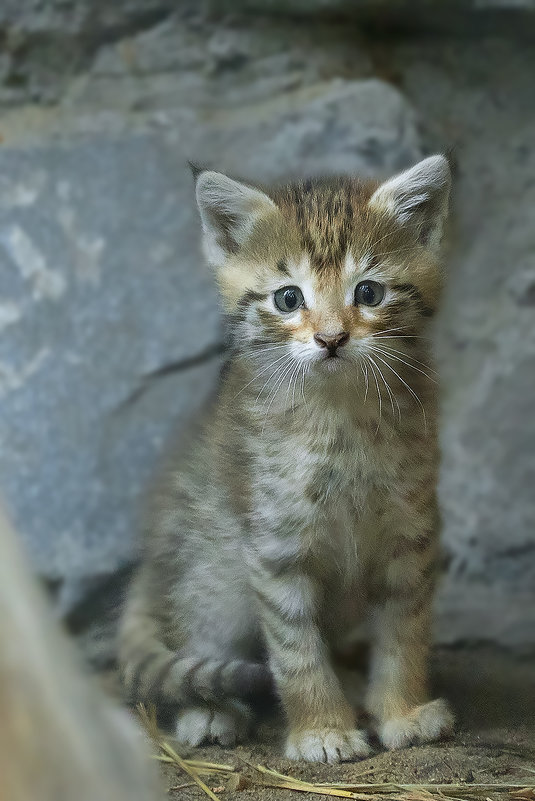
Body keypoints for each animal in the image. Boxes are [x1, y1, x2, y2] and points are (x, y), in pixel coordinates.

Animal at [119, 155, 454, 764]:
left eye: (368, 292)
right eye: (288, 299)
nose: (331, 338)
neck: (340, 418)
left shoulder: (411, 531)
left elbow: (405, 630)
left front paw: (402, 711)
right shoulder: (274, 545)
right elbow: (296, 651)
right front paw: (321, 729)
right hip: (209, 568)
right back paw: (210, 711)